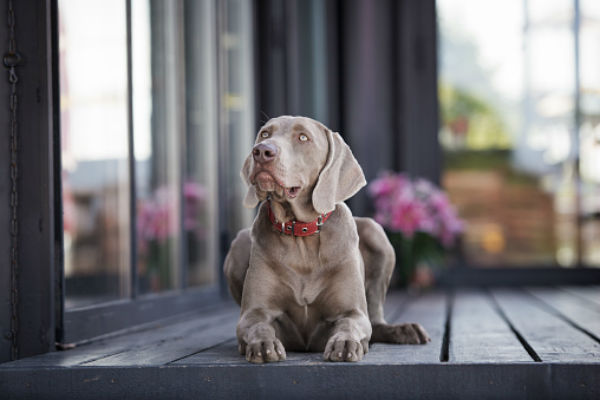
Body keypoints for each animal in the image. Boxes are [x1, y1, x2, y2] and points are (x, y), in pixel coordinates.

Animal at [223, 115, 428, 362]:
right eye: (264, 134)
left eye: (303, 137)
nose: (262, 151)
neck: (301, 235)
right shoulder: (253, 314)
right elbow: (258, 325)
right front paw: (263, 344)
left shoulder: (353, 312)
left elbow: (350, 324)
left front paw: (345, 344)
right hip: (239, 242)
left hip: (375, 232)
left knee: (376, 320)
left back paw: (404, 330)